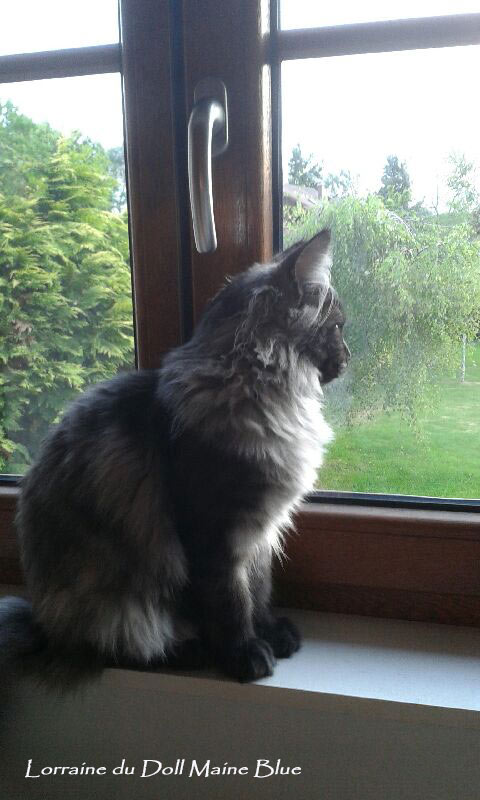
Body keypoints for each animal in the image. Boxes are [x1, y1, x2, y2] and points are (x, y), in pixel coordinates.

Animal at [0, 230, 350, 684]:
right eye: (338, 327)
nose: (349, 358)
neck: (256, 392)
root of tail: (41, 624)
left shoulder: (258, 532)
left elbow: (259, 590)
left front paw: (271, 633)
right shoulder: (215, 531)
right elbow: (231, 602)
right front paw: (245, 653)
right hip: (119, 604)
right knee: (122, 647)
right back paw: (190, 650)